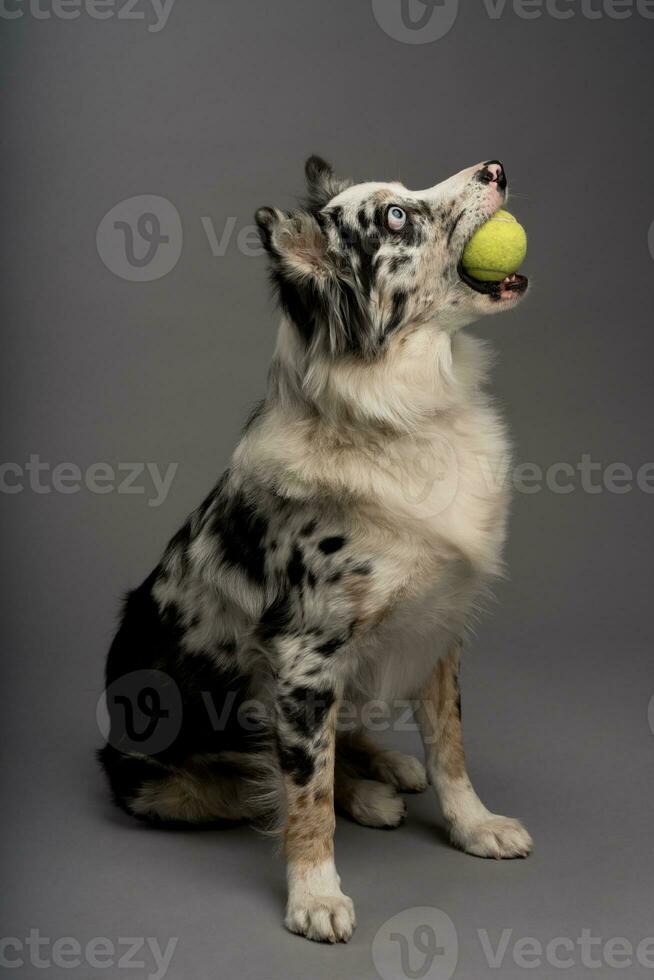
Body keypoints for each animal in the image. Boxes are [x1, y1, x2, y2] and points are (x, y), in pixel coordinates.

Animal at [100, 155, 536, 940]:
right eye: (395, 217)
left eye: (406, 197)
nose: (495, 166)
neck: (401, 413)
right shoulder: (305, 655)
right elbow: (305, 792)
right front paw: (315, 895)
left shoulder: (438, 625)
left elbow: (450, 745)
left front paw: (474, 826)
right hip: (165, 784)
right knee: (265, 778)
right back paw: (365, 794)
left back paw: (385, 769)